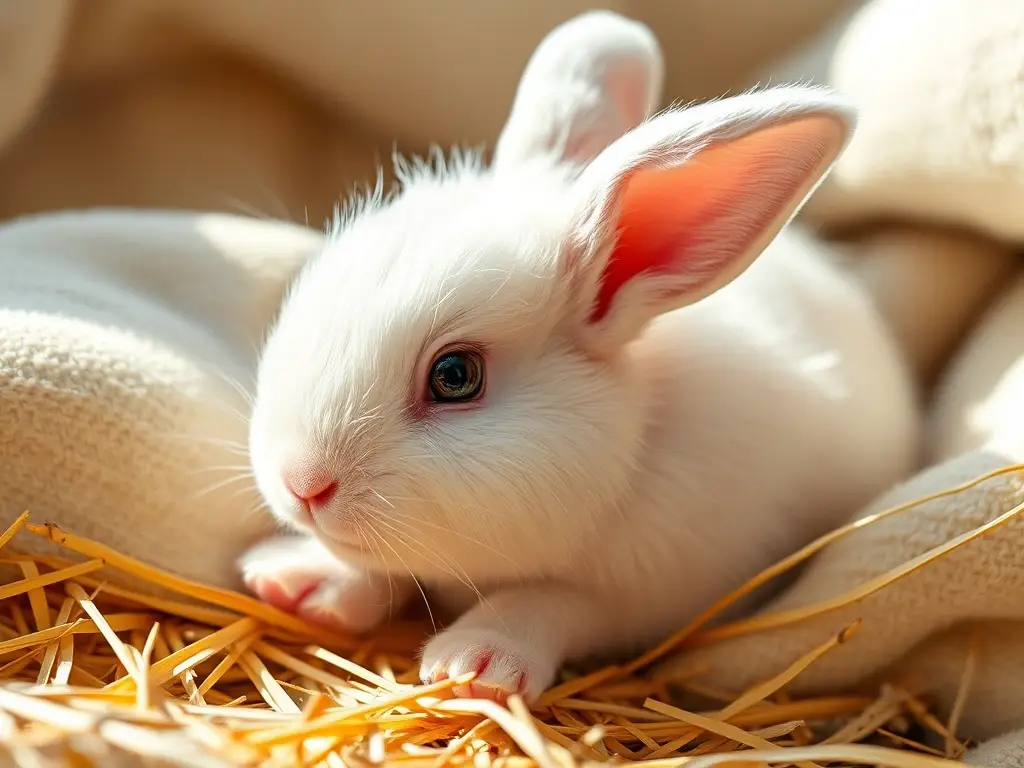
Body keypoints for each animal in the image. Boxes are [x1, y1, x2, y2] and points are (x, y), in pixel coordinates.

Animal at [239, 10, 919, 703]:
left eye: (456, 376)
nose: (301, 484)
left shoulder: (641, 598)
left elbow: (546, 600)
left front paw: (473, 665)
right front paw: (296, 582)